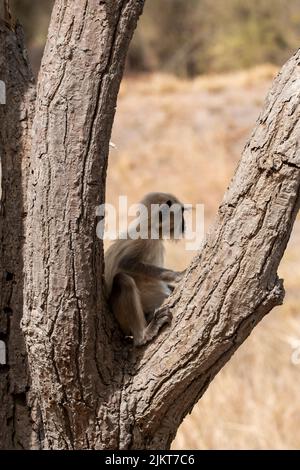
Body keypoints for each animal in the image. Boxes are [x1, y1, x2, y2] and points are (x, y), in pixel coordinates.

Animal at [105, 193, 185, 346]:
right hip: (121, 320)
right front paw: (176, 275)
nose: (184, 224)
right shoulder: (145, 239)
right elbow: (125, 263)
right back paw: (142, 336)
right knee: (123, 280)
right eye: (181, 212)